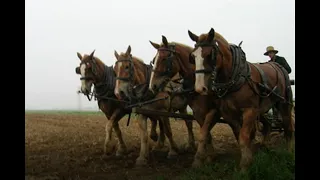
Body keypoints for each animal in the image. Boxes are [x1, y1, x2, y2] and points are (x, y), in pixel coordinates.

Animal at [149, 35, 234, 166]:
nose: (152, 86)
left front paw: (205, 156)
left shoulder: (213, 110)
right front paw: (208, 155)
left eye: (164, 59)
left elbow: (205, 131)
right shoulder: (196, 112)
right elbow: (205, 132)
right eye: (154, 60)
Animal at [188, 27, 296, 170]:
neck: (235, 76)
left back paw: (289, 153)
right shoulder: (226, 113)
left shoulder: (250, 110)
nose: (200, 88)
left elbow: (244, 137)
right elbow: (237, 136)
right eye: (193, 56)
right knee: (267, 126)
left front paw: (244, 166)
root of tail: (277, 66)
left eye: (210, 54)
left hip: (284, 104)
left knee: (288, 128)